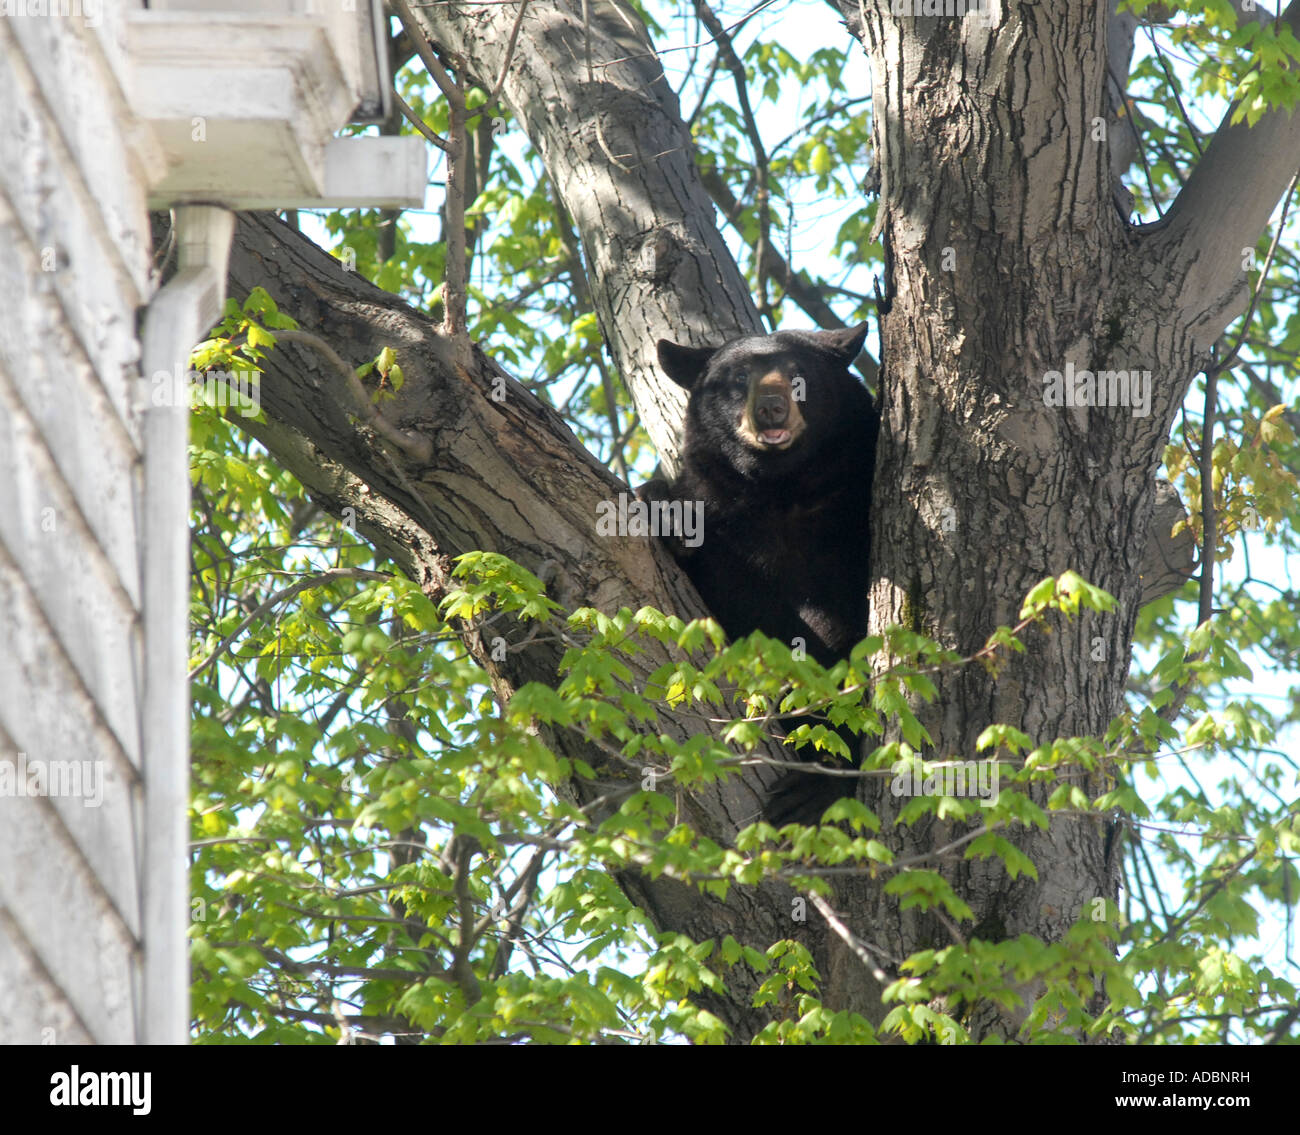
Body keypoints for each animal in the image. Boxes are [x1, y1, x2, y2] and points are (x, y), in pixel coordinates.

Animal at [639, 322, 879, 824]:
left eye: (797, 373)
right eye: (738, 378)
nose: (770, 407)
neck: (780, 491)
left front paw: (819, 782)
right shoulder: (723, 522)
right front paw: (663, 511)